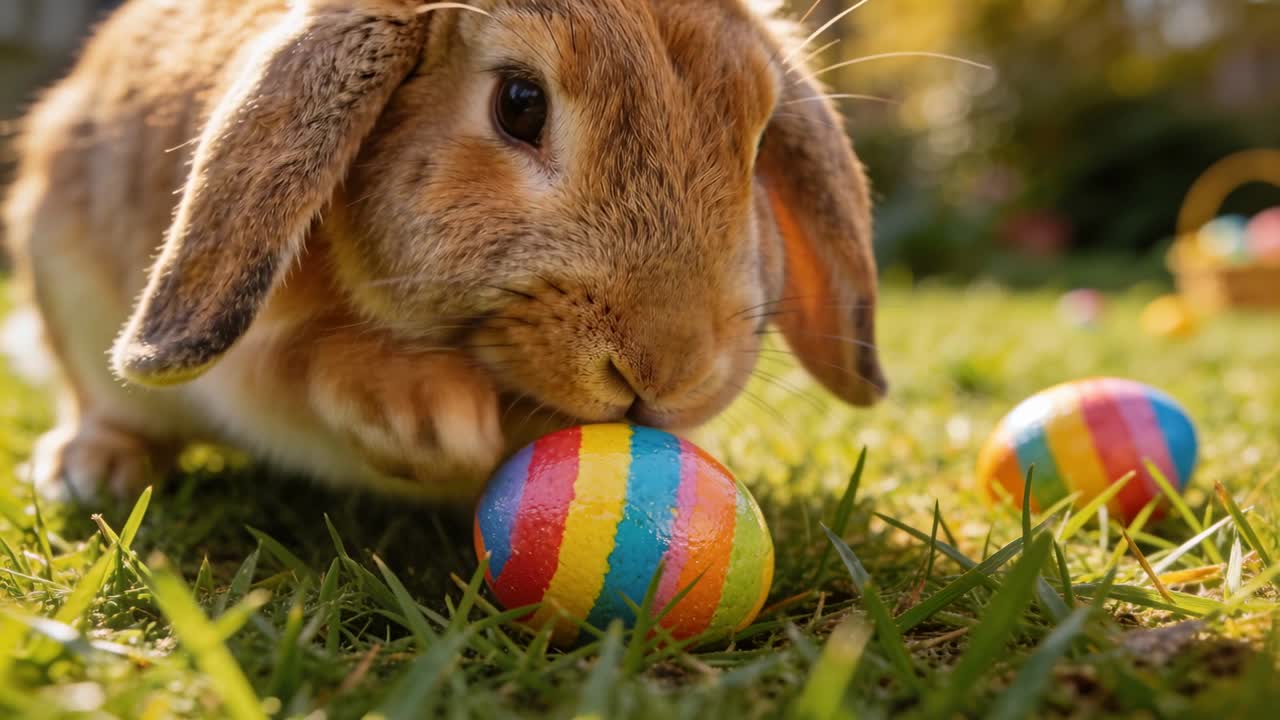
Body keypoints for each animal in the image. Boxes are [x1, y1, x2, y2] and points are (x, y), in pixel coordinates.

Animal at [2, 0, 886, 504]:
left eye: (760, 137)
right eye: (520, 104)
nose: (668, 372)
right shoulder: (255, 353)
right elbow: (306, 361)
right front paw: (430, 415)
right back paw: (92, 470)